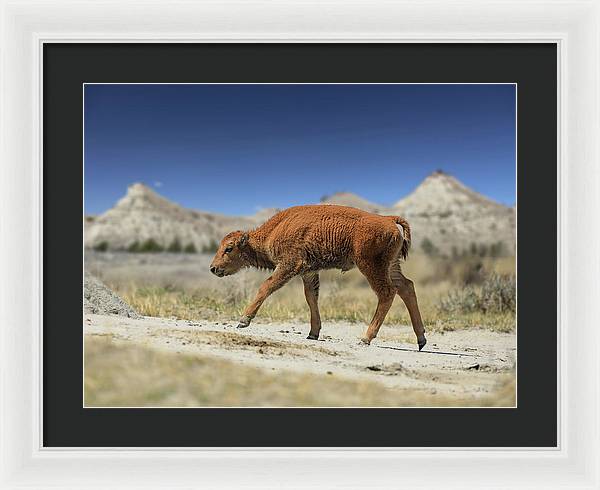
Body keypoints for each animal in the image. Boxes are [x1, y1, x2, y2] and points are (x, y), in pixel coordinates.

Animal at [211, 205, 426, 350]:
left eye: (229, 248)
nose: (213, 268)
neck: (274, 231)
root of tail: (389, 219)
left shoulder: (289, 265)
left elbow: (267, 286)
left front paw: (243, 320)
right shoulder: (309, 272)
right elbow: (311, 298)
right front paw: (313, 334)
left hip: (371, 266)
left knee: (387, 292)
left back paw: (366, 338)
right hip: (392, 266)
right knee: (406, 287)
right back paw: (421, 339)